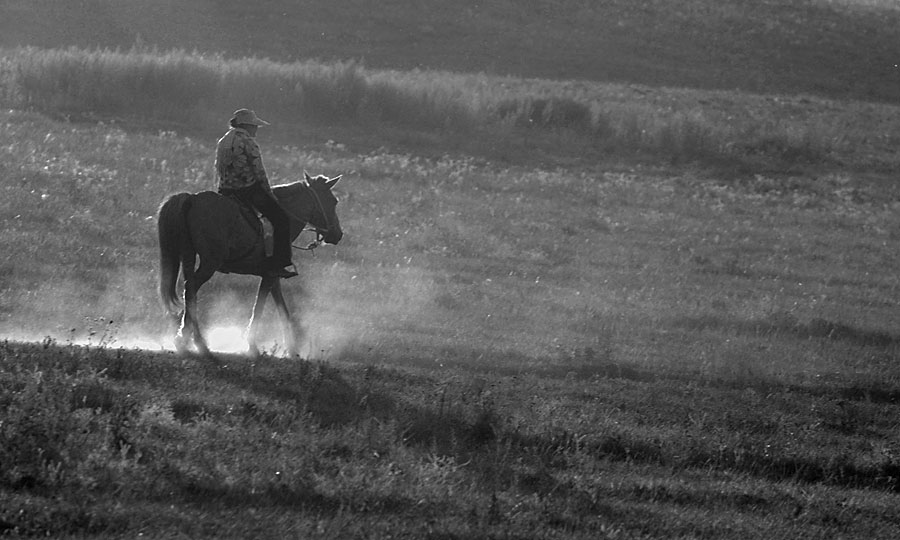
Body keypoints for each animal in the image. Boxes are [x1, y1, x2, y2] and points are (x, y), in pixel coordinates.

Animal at [156, 173, 342, 358]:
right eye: (333, 201)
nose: (338, 234)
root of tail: (192, 198)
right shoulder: (270, 274)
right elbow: (259, 306)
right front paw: (252, 346)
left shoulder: (273, 276)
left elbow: (282, 309)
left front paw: (292, 349)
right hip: (210, 263)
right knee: (192, 288)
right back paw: (198, 343)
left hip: (189, 256)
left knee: (189, 290)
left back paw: (187, 340)